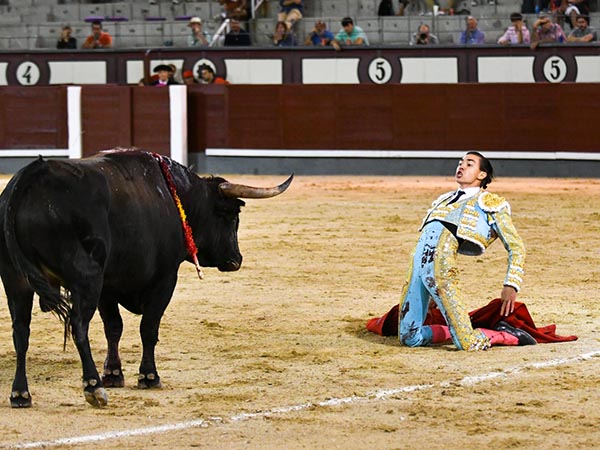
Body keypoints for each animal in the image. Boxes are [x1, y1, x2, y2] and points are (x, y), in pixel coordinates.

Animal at [0, 150, 293, 408]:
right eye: (232, 217)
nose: (236, 259)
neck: (175, 197)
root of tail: (32, 176)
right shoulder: (164, 279)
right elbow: (148, 328)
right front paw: (148, 376)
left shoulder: (108, 287)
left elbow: (113, 328)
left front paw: (114, 374)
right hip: (86, 277)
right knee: (79, 326)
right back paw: (93, 387)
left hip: (16, 280)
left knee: (20, 332)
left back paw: (20, 394)